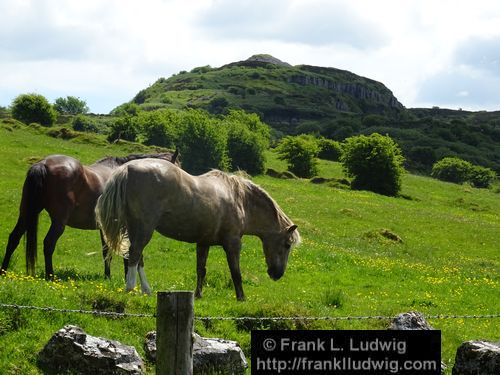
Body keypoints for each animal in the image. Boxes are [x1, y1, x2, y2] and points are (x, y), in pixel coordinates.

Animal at [0, 152, 178, 280]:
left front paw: (108, 276)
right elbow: (126, 251)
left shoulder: (105, 228)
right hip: (58, 222)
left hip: (26, 214)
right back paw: (50, 275)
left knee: (13, 238)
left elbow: (106, 251)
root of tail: (42, 164)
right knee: (48, 244)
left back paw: (4, 270)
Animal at [95, 160, 298, 302]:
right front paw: (241, 297)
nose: (277, 274)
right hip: (144, 228)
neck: (240, 200)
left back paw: (146, 290)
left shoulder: (203, 243)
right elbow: (236, 272)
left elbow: (201, 270)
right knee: (135, 254)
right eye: (287, 245)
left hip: (135, 228)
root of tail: (127, 169)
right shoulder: (233, 244)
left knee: (138, 259)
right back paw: (130, 289)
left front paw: (198, 294)